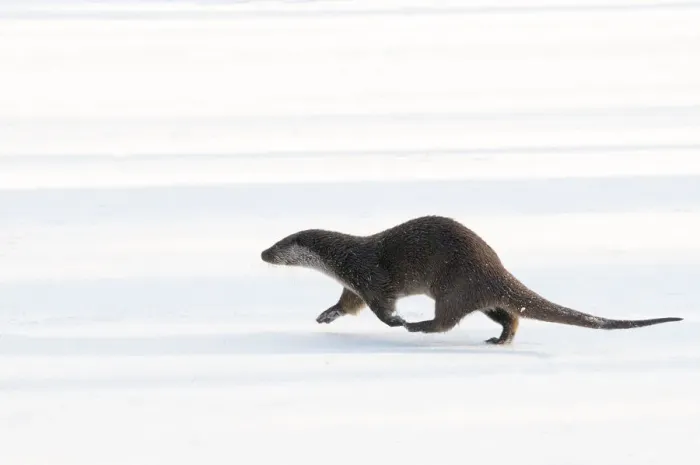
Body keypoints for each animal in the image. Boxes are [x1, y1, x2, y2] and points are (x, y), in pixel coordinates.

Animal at [260, 215, 682, 344]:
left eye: (278, 246)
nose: (262, 254)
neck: (344, 258)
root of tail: (495, 267)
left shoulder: (370, 278)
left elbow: (383, 308)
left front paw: (397, 321)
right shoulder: (353, 286)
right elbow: (347, 305)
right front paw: (325, 316)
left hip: (455, 285)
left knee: (446, 320)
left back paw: (417, 326)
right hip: (482, 295)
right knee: (510, 314)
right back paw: (500, 339)